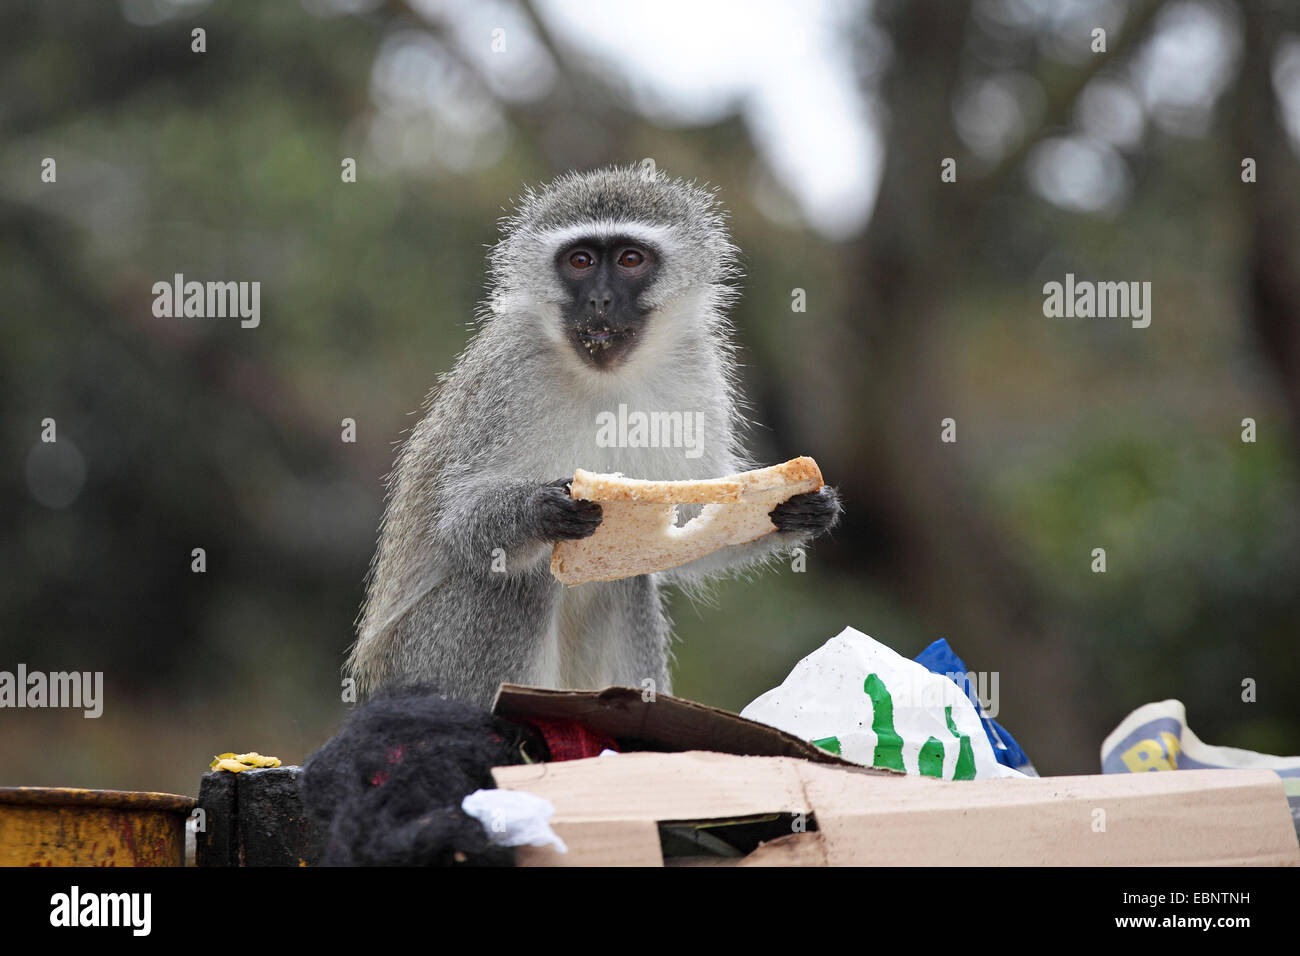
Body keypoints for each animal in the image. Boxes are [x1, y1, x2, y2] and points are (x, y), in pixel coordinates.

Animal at [348, 164, 842, 707]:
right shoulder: (509, 377)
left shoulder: (696, 372)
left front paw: (799, 510)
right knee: (516, 582)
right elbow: (459, 523)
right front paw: (542, 508)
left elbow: (693, 524)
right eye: (580, 261)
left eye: (630, 260)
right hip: (422, 662)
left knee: (627, 580)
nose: (600, 300)